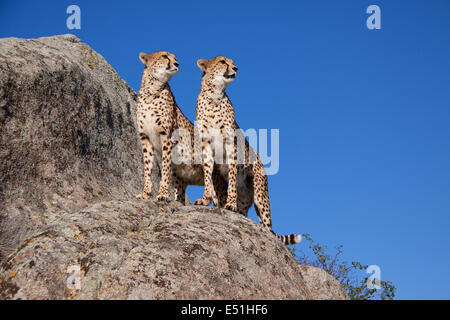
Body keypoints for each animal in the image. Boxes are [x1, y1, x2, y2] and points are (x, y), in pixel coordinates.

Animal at [134, 51, 227, 204]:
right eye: (164, 56)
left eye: (175, 58)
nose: (177, 64)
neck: (152, 91)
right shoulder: (145, 138)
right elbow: (147, 167)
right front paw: (145, 193)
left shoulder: (167, 137)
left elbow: (165, 168)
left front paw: (163, 194)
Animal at [192, 55, 300, 245]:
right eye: (222, 62)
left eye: (233, 62)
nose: (236, 68)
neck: (214, 96)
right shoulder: (206, 145)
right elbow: (207, 175)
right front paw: (205, 200)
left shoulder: (231, 145)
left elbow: (232, 175)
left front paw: (230, 203)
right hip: (246, 203)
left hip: (261, 195)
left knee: (268, 225)